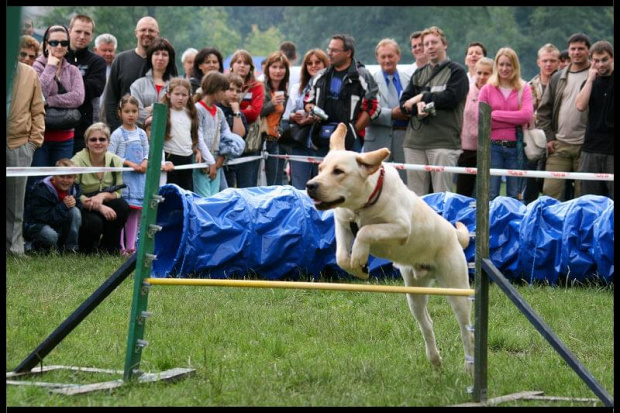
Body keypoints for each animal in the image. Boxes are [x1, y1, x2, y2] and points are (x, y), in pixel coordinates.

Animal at [306, 122, 474, 374]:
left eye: (338, 171)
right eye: (320, 168)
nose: (310, 186)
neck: (363, 204)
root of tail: (454, 235)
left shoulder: (401, 227)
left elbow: (365, 232)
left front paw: (359, 258)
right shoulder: (342, 221)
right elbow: (341, 256)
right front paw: (358, 268)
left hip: (457, 288)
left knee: (466, 330)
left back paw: (469, 367)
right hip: (414, 293)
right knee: (427, 323)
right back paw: (435, 360)